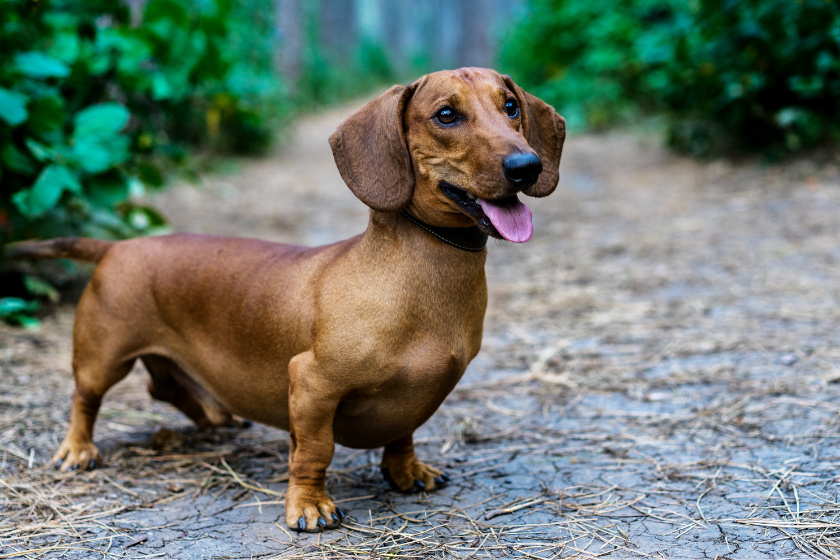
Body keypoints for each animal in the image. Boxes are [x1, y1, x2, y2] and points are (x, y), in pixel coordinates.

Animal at [13, 68, 564, 532]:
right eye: (446, 115)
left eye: (511, 106)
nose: (526, 165)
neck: (416, 275)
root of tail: (118, 246)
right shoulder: (312, 384)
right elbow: (313, 452)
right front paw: (309, 506)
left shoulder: (416, 398)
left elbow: (402, 433)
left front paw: (407, 472)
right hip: (103, 357)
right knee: (86, 398)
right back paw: (77, 449)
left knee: (164, 388)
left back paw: (214, 417)